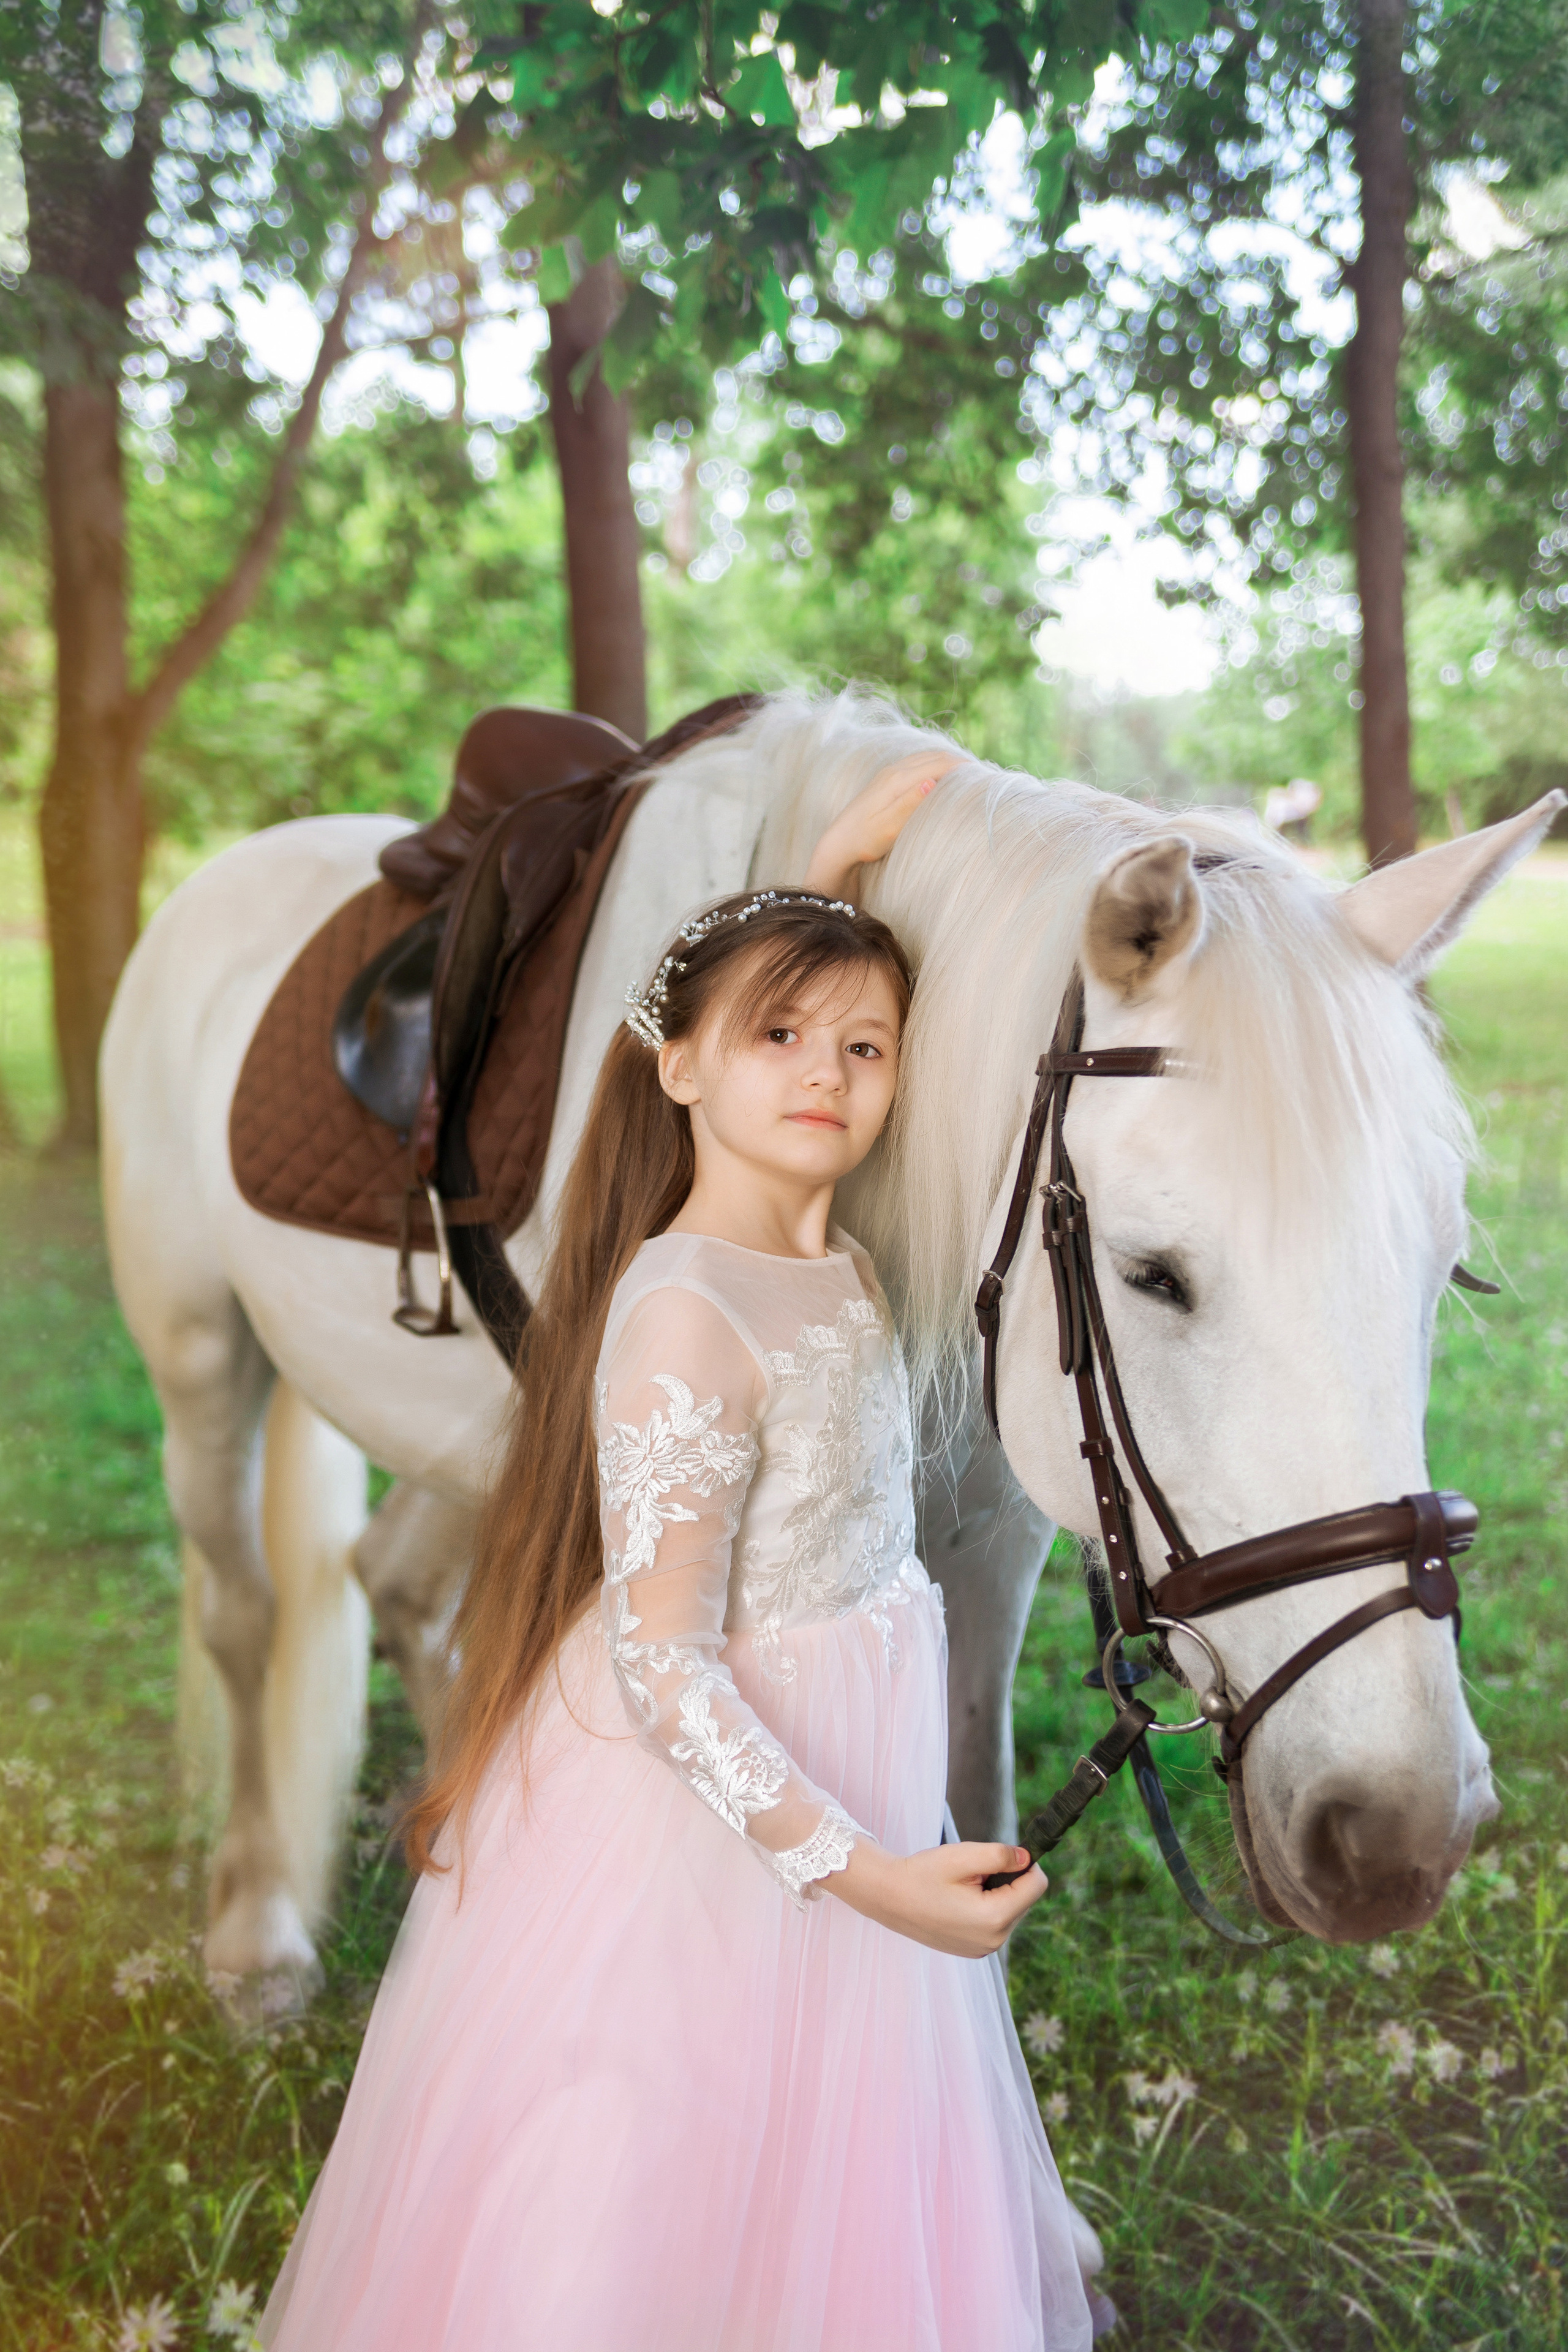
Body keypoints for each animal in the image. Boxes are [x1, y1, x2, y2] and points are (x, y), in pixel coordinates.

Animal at [99, 687, 1559, 1977]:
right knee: (244, 1610)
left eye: (1437, 1274)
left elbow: (967, 1787)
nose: (1398, 1834)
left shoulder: (990, 1525)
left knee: (400, 1587)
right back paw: (259, 1934)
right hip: (202, 1357)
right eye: (1153, 1277)